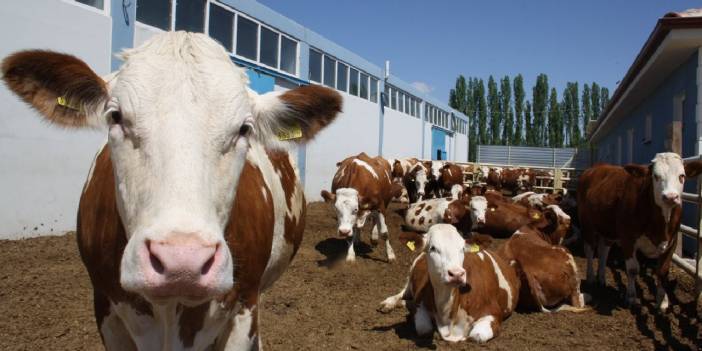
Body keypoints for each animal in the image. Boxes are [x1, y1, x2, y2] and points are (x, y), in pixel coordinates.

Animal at [380, 226, 524, 344]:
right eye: (433, 248)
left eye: (462, 248)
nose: (456, 274)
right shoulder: (420, 302)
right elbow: (424, 329)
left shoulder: (493, 312)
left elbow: (476, 336)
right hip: (411, 274)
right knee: (404, 291)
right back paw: (388, 303)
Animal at [576, 153, 702, 312]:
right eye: (655, 176)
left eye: (682, 176)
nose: (670, 197)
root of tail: (596, 167)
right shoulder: (628, 238)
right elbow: (632, 269)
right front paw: (631, 297)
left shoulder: (672, 241)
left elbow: (663, 271)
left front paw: (663, 300)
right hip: (587, 224)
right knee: (590, 249)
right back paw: (591, 277)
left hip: (608, 228)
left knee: (604, 250)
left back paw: (602, 278)